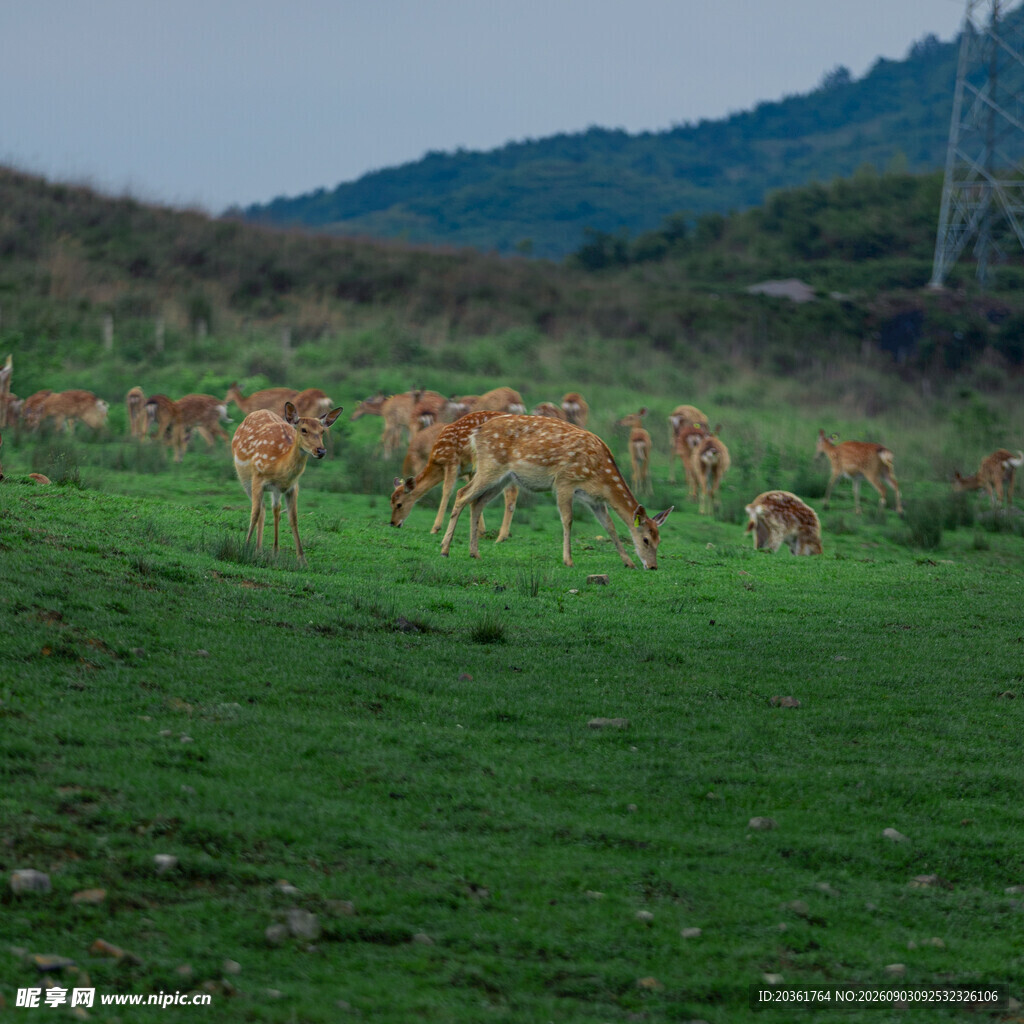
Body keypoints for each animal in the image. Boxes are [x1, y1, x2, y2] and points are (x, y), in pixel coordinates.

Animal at [231, 401, 343, 565]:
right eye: (303, 429)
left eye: (322, 431)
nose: (321, 451)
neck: (279, 465)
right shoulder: (257, 478)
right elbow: (254, 513)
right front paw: (245, 548)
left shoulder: (292, 487)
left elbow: (293, 518)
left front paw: (301, 559)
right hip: (244, 478)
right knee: (261, 509)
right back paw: (256, 549)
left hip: (274, 490)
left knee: (271, 509)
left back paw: (260, 549)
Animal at [440, 416, 673, 569]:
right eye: (646, 539)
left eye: (660, 540)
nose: (652, 566)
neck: (601, 477)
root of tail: (475, 433)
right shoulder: (565, 482)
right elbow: (568, 520)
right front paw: (568, 560)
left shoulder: (595, 500)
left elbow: (610, 526)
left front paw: (628, 562)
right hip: (491, 465)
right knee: (462, 494)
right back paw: (444, 549)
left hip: (503, 478)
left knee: (476, 502)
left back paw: (474, 553)